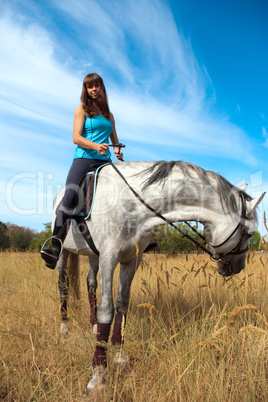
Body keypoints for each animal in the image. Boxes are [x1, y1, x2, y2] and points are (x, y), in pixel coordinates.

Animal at [51, 161, 264, 392]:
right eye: (250, 233)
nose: (239, 267)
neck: (132, 204)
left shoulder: (131, 259)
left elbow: (122, 304)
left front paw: (119, 354)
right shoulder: (109, 255)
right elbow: (106, 310)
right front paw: (98, 375)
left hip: (93, 256)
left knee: (90, 284)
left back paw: (93, 327)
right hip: (64, 254)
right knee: (62, 285)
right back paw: (64, 328)